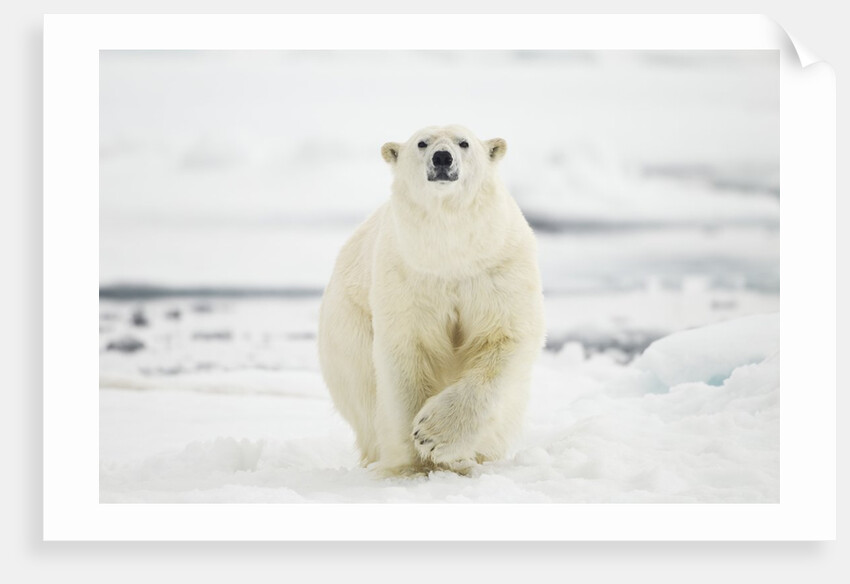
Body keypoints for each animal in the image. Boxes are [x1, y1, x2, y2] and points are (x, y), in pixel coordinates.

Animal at [318, 125, 545, 476]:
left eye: (464, 143)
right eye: (422, 143)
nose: (442, 158)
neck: (449, 255)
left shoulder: (496, 269)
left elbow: (503, 338)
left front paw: (435, 437)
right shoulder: (408, 276)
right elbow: (408, 351)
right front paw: (416, 457)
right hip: (348, 332)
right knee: (366, 397)